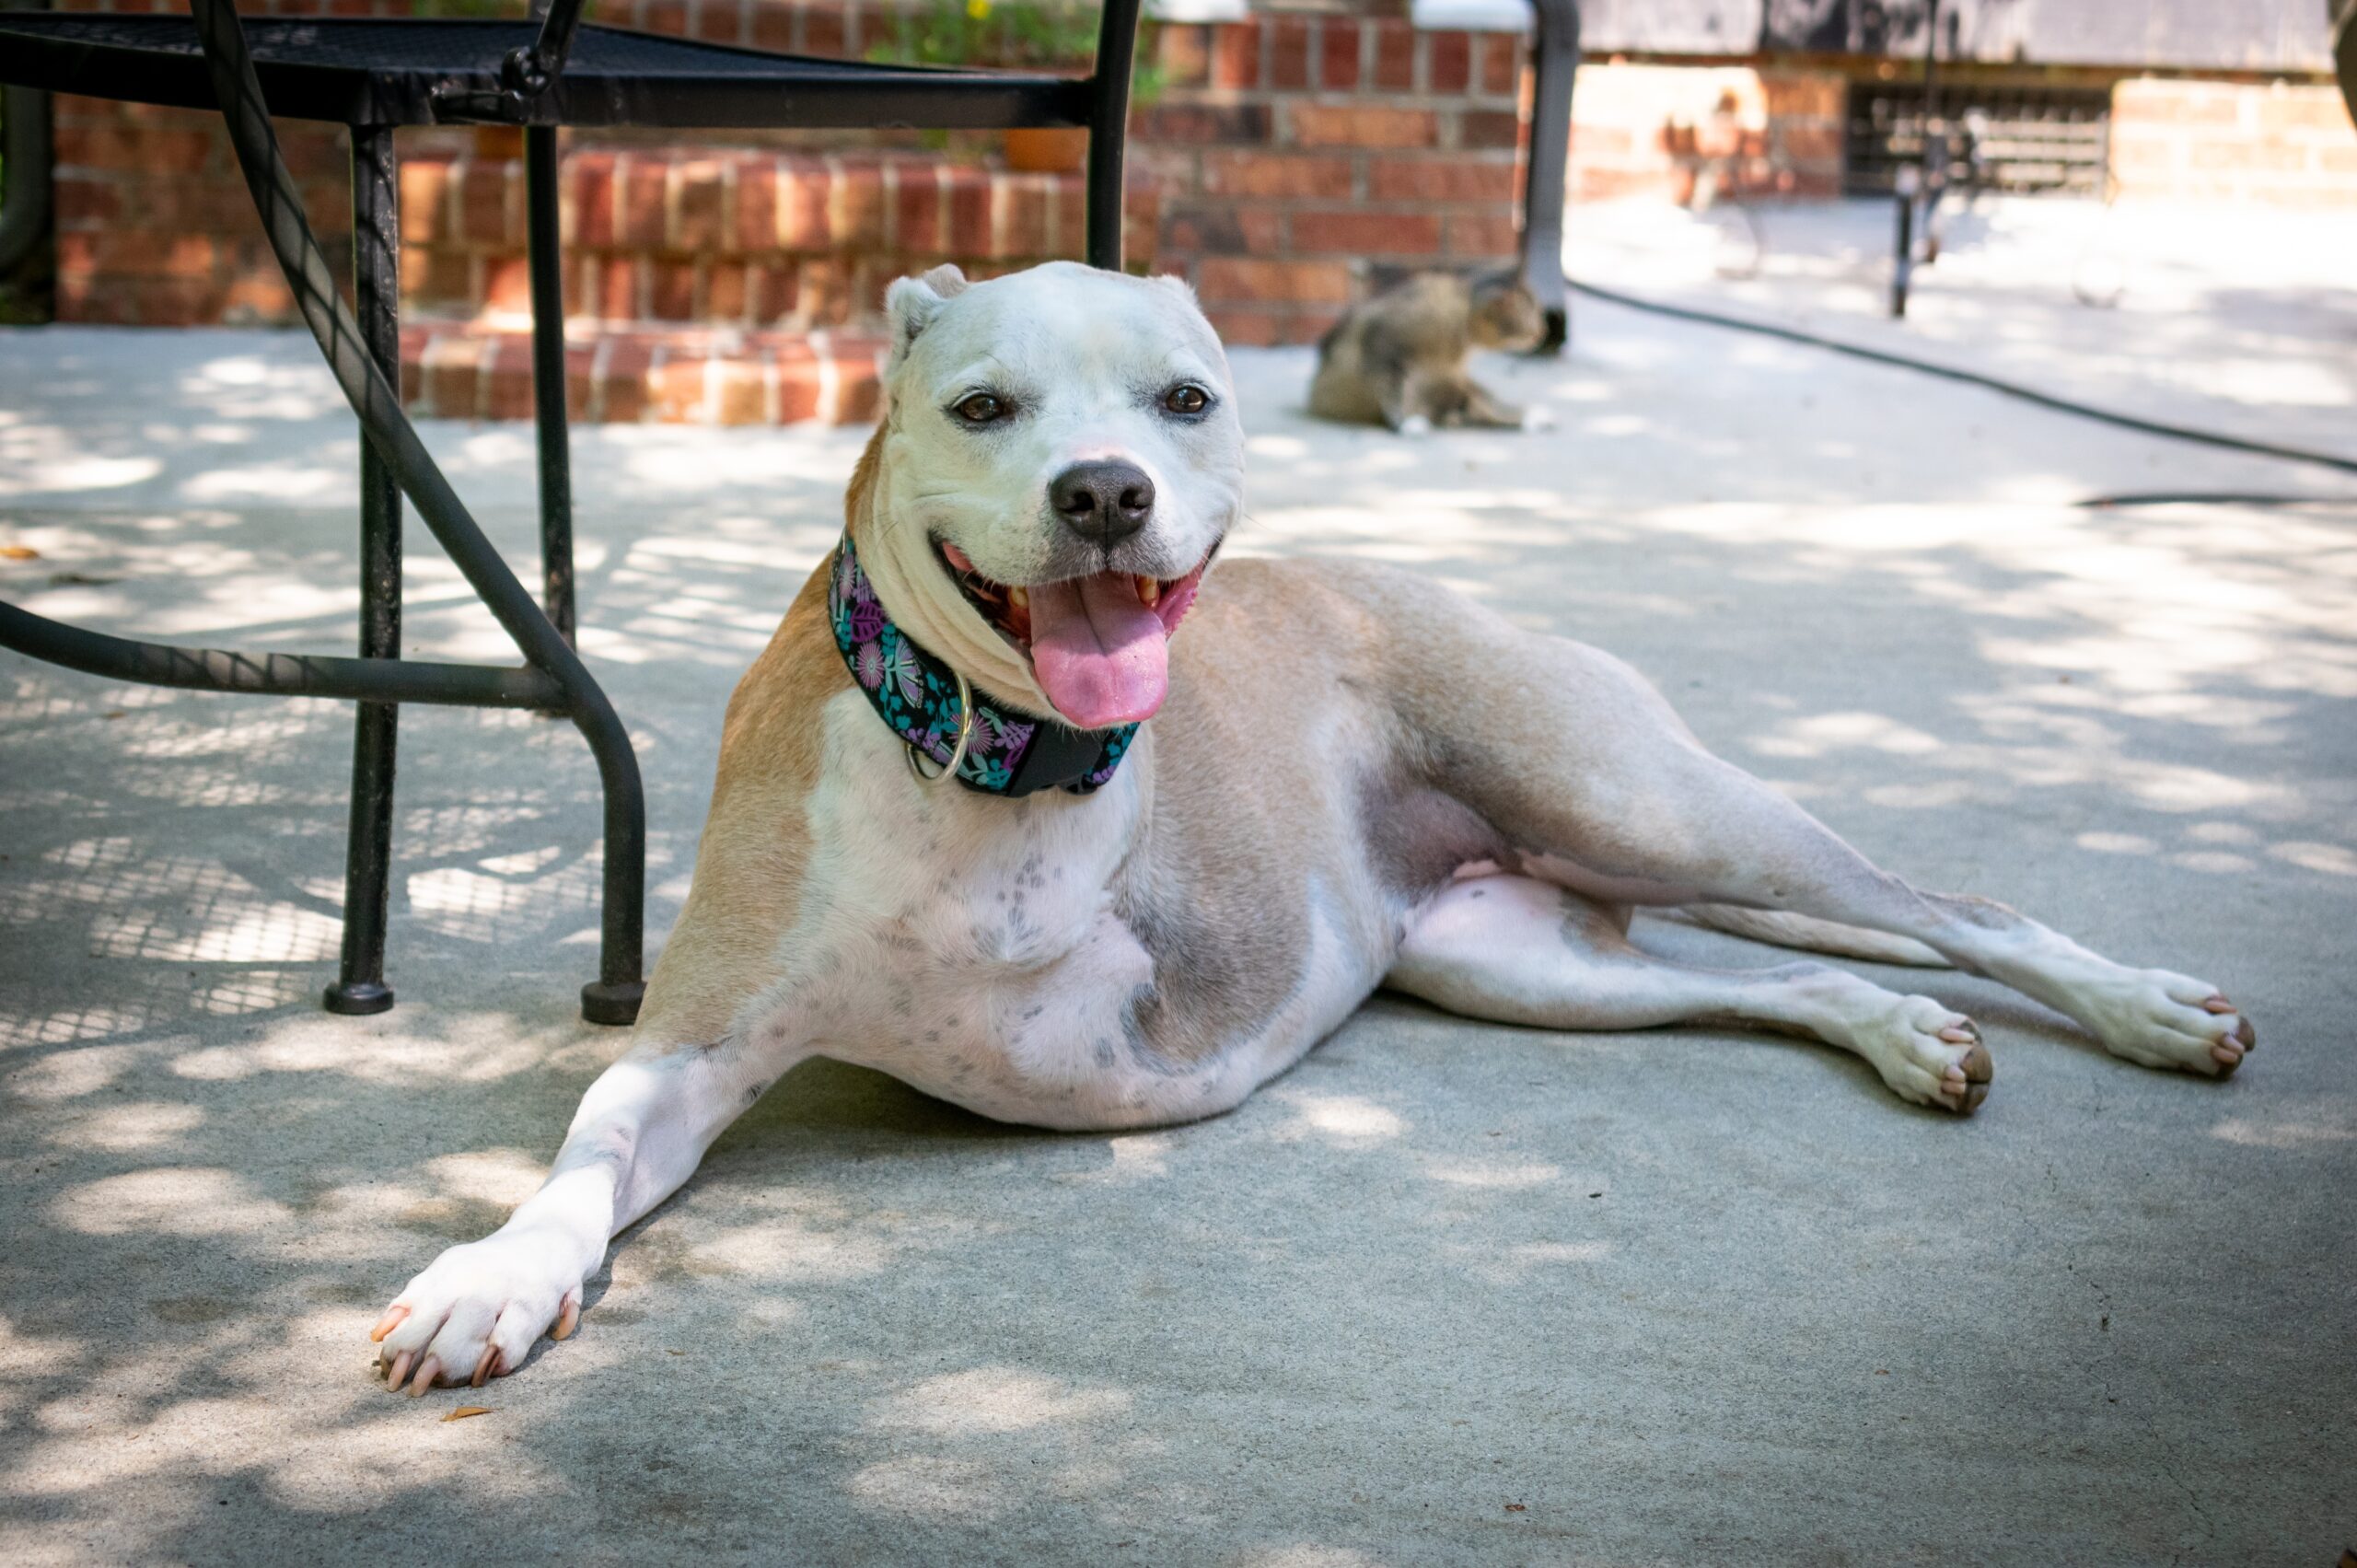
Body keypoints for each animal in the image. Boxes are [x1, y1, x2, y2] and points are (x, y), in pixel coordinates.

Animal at [367, 259, 2244, 1396]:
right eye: (982, 407)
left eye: (1185, 400)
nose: (1104, 490)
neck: (986, 744)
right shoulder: (688, 1045)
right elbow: (586, 1155)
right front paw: (497, 1272)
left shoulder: (1137, 952)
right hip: (1525, 953)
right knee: (1783, 974)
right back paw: (1908, 1035)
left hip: (1641, 804)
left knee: (1957, 902)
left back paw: (2145, 1005)